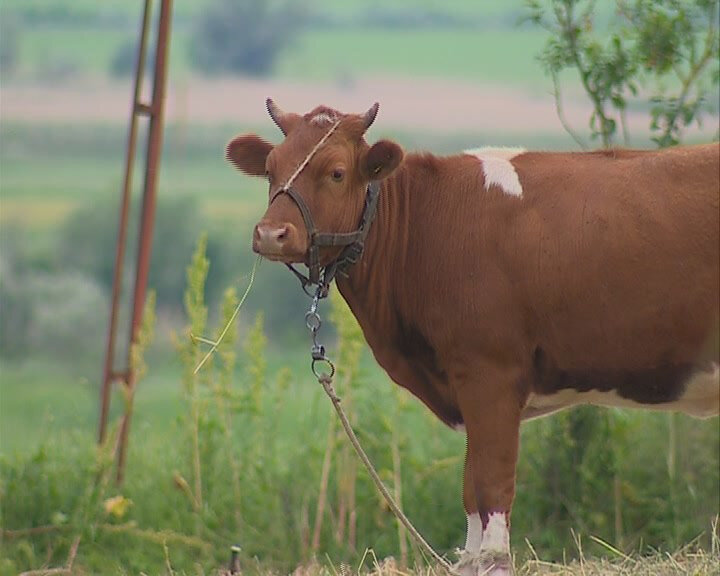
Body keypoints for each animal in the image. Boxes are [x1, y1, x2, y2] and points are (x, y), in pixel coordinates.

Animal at [226, 101, 720, 572]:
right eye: (271, 168)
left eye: (336, 172)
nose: (271, 234)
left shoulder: (490, 374)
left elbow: (490, 483)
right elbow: (469, 487)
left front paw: (494, 559)